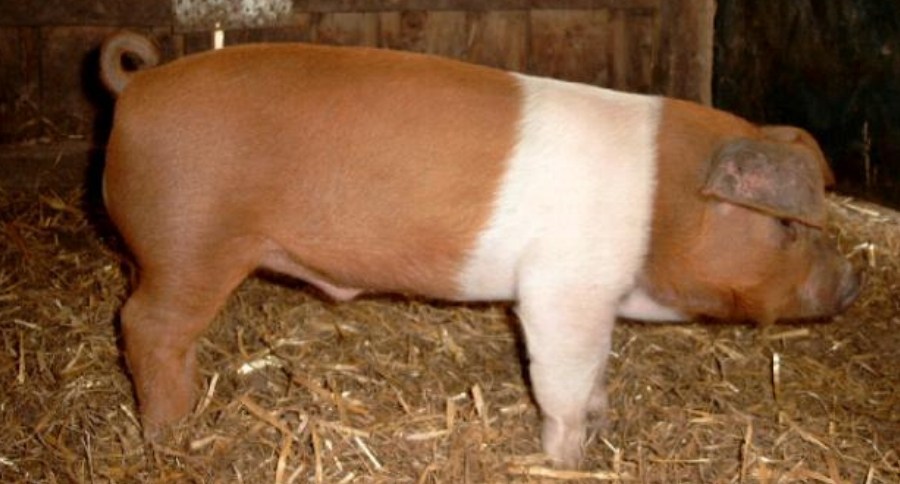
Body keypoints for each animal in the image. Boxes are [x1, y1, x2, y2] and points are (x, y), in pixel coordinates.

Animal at [99, 30, 860, 467]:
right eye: (788, 227)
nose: (851, 282)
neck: (663, 206)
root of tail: (140, 82)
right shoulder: (561, 291)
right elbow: (560, 384)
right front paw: (566, 459)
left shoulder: (596, 299)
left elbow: (596, 373)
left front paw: (601, 420)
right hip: (192, 243)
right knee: (146, 326)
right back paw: (170, 432)